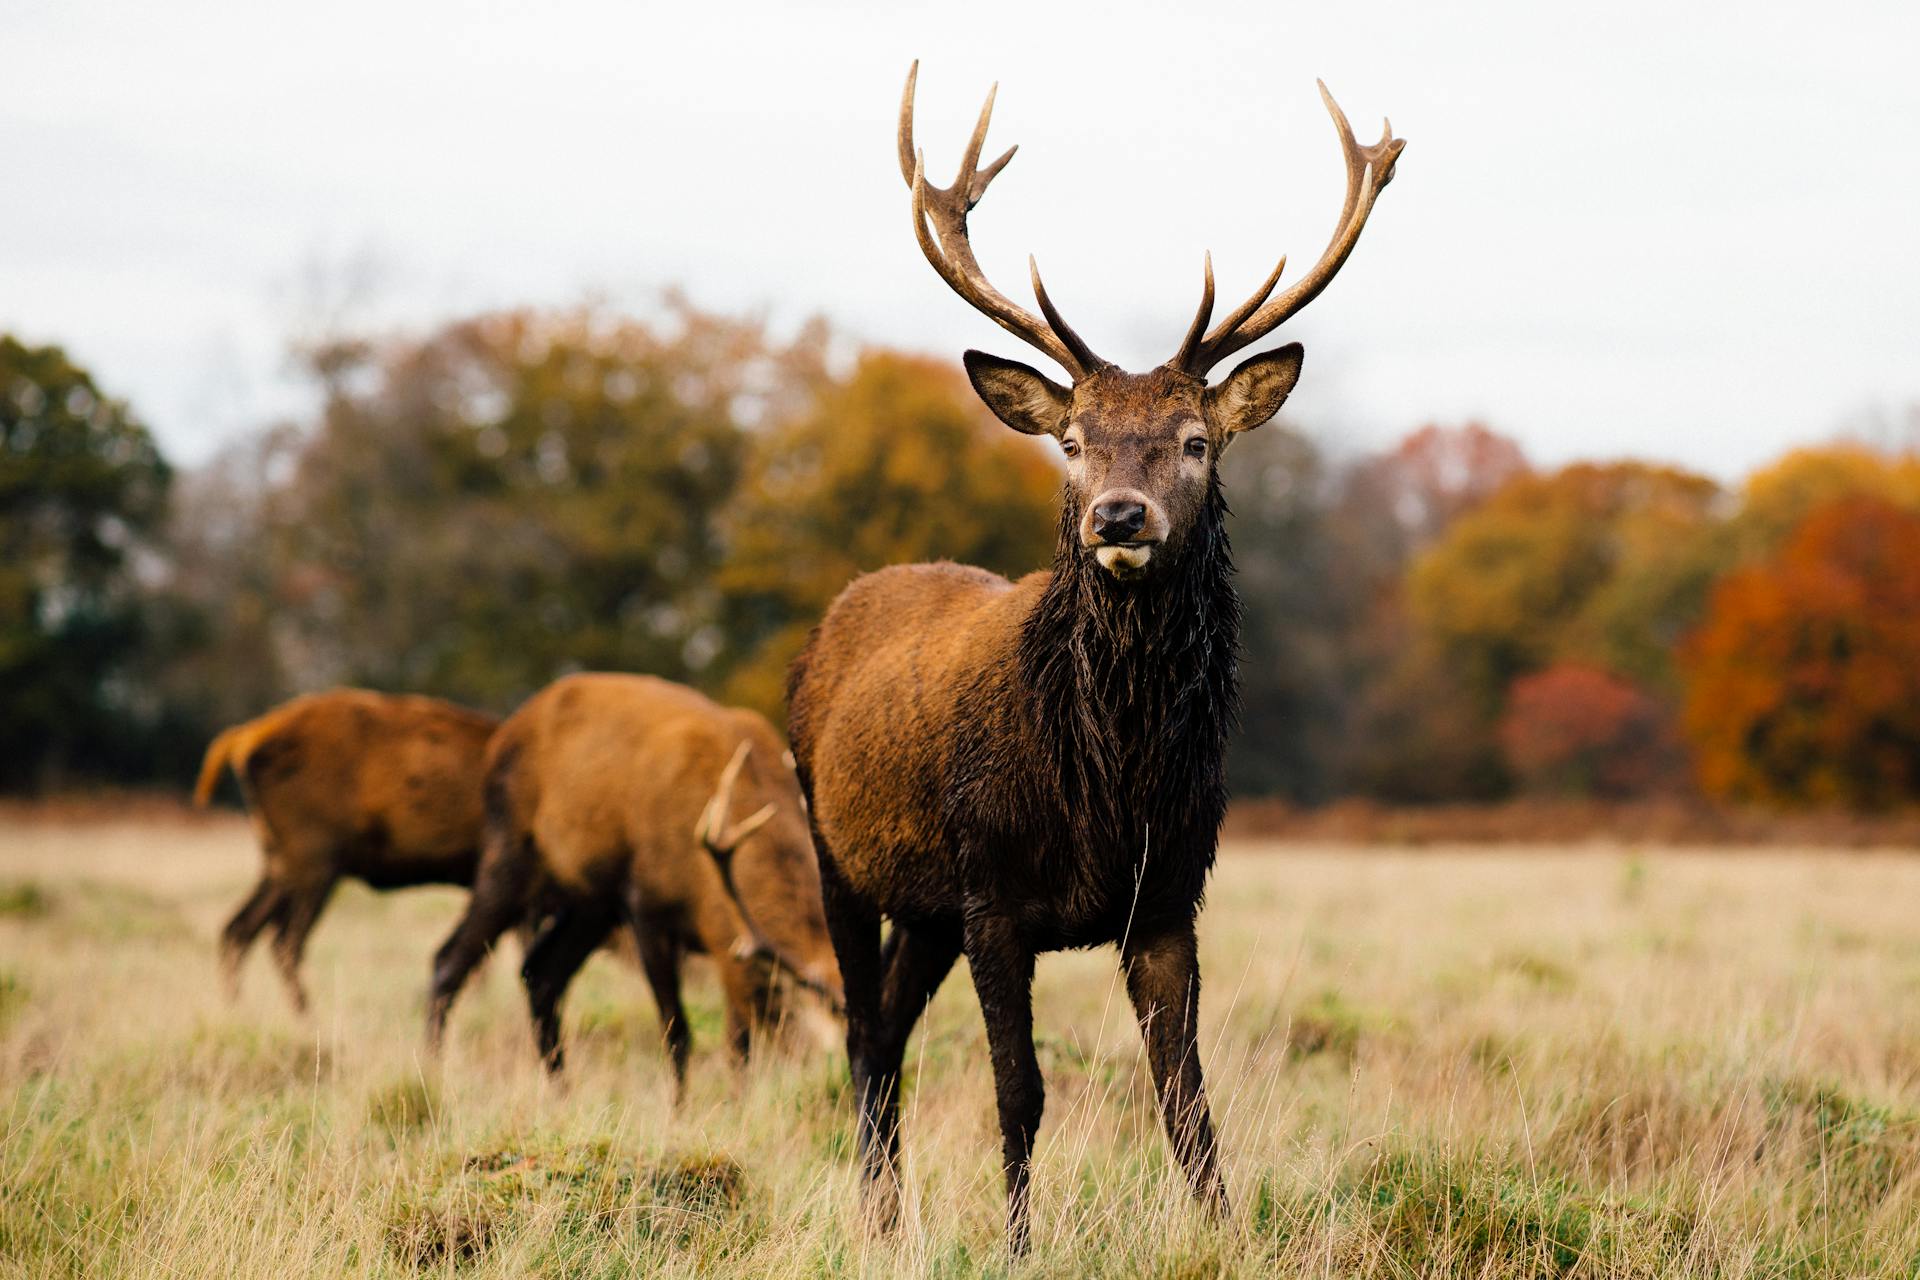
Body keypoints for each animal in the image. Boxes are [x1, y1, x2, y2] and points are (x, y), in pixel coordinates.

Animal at [189, 690, 495, 1013]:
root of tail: (247, 737)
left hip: (279, 862)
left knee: (239, 928)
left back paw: (238, 1006)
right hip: (316, 861)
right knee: (284, 941)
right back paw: (307, 1015)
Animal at [428, 675, 848, 1090]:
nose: (836, 1083)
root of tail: (502, 735)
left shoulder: (731, 949)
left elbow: (738, 1045)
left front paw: (736, 1099)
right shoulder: (645, 905)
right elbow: (678, 1033)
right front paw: (680, 1106)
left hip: (590, 903)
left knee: (541, 974)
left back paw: (561, 1089)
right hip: (510, 850)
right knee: (450, 960)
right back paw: (434, 1075)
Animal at [787, 62, 1405, 1251]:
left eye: (1196, 440)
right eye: (1071, 441)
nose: (1117, 515)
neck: (1108, 786)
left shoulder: (1167, 896)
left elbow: (1187, 1097)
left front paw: (1225, 1235)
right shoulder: (993, 893)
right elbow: (1018, 1090)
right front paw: (1017, 1245)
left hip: (923, 906)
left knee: (883, 1023)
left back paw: (886, 1216)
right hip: (835, 851)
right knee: (861, 1029)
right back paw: (879, 1219)